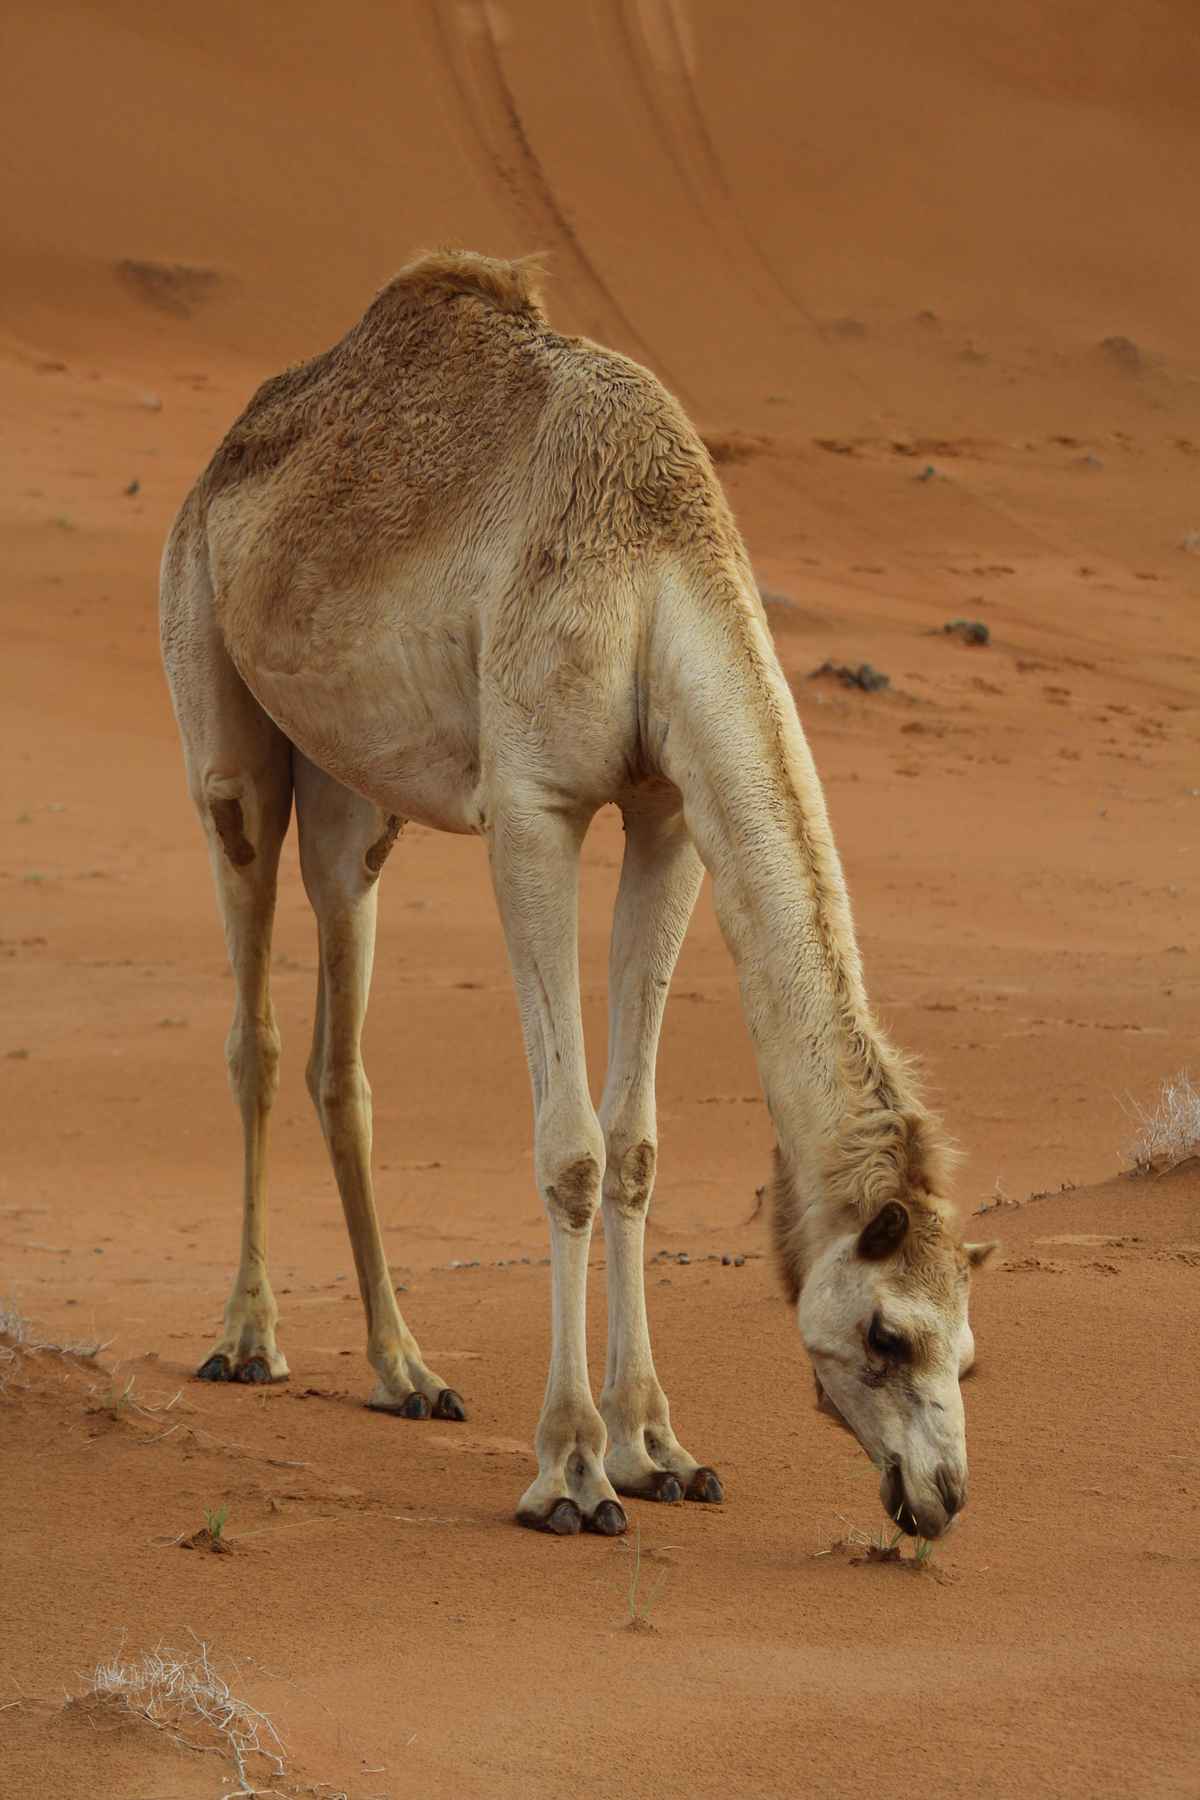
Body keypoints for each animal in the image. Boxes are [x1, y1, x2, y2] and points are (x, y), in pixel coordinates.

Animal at [160, 249, 995, 1541]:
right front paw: (571, 1470)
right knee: (252, 1014)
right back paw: (248, 1340)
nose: (940, 1498)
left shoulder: (669, 813)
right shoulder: (535, 806)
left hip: (354, 796)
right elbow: (571, 1153)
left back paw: (406, 1369)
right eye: (885, 1334)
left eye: (967, 1353)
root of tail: (226, 455)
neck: (657, 573)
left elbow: (636, 1145)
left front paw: (659, 1449)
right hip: (218, 702)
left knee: (339, 1050)